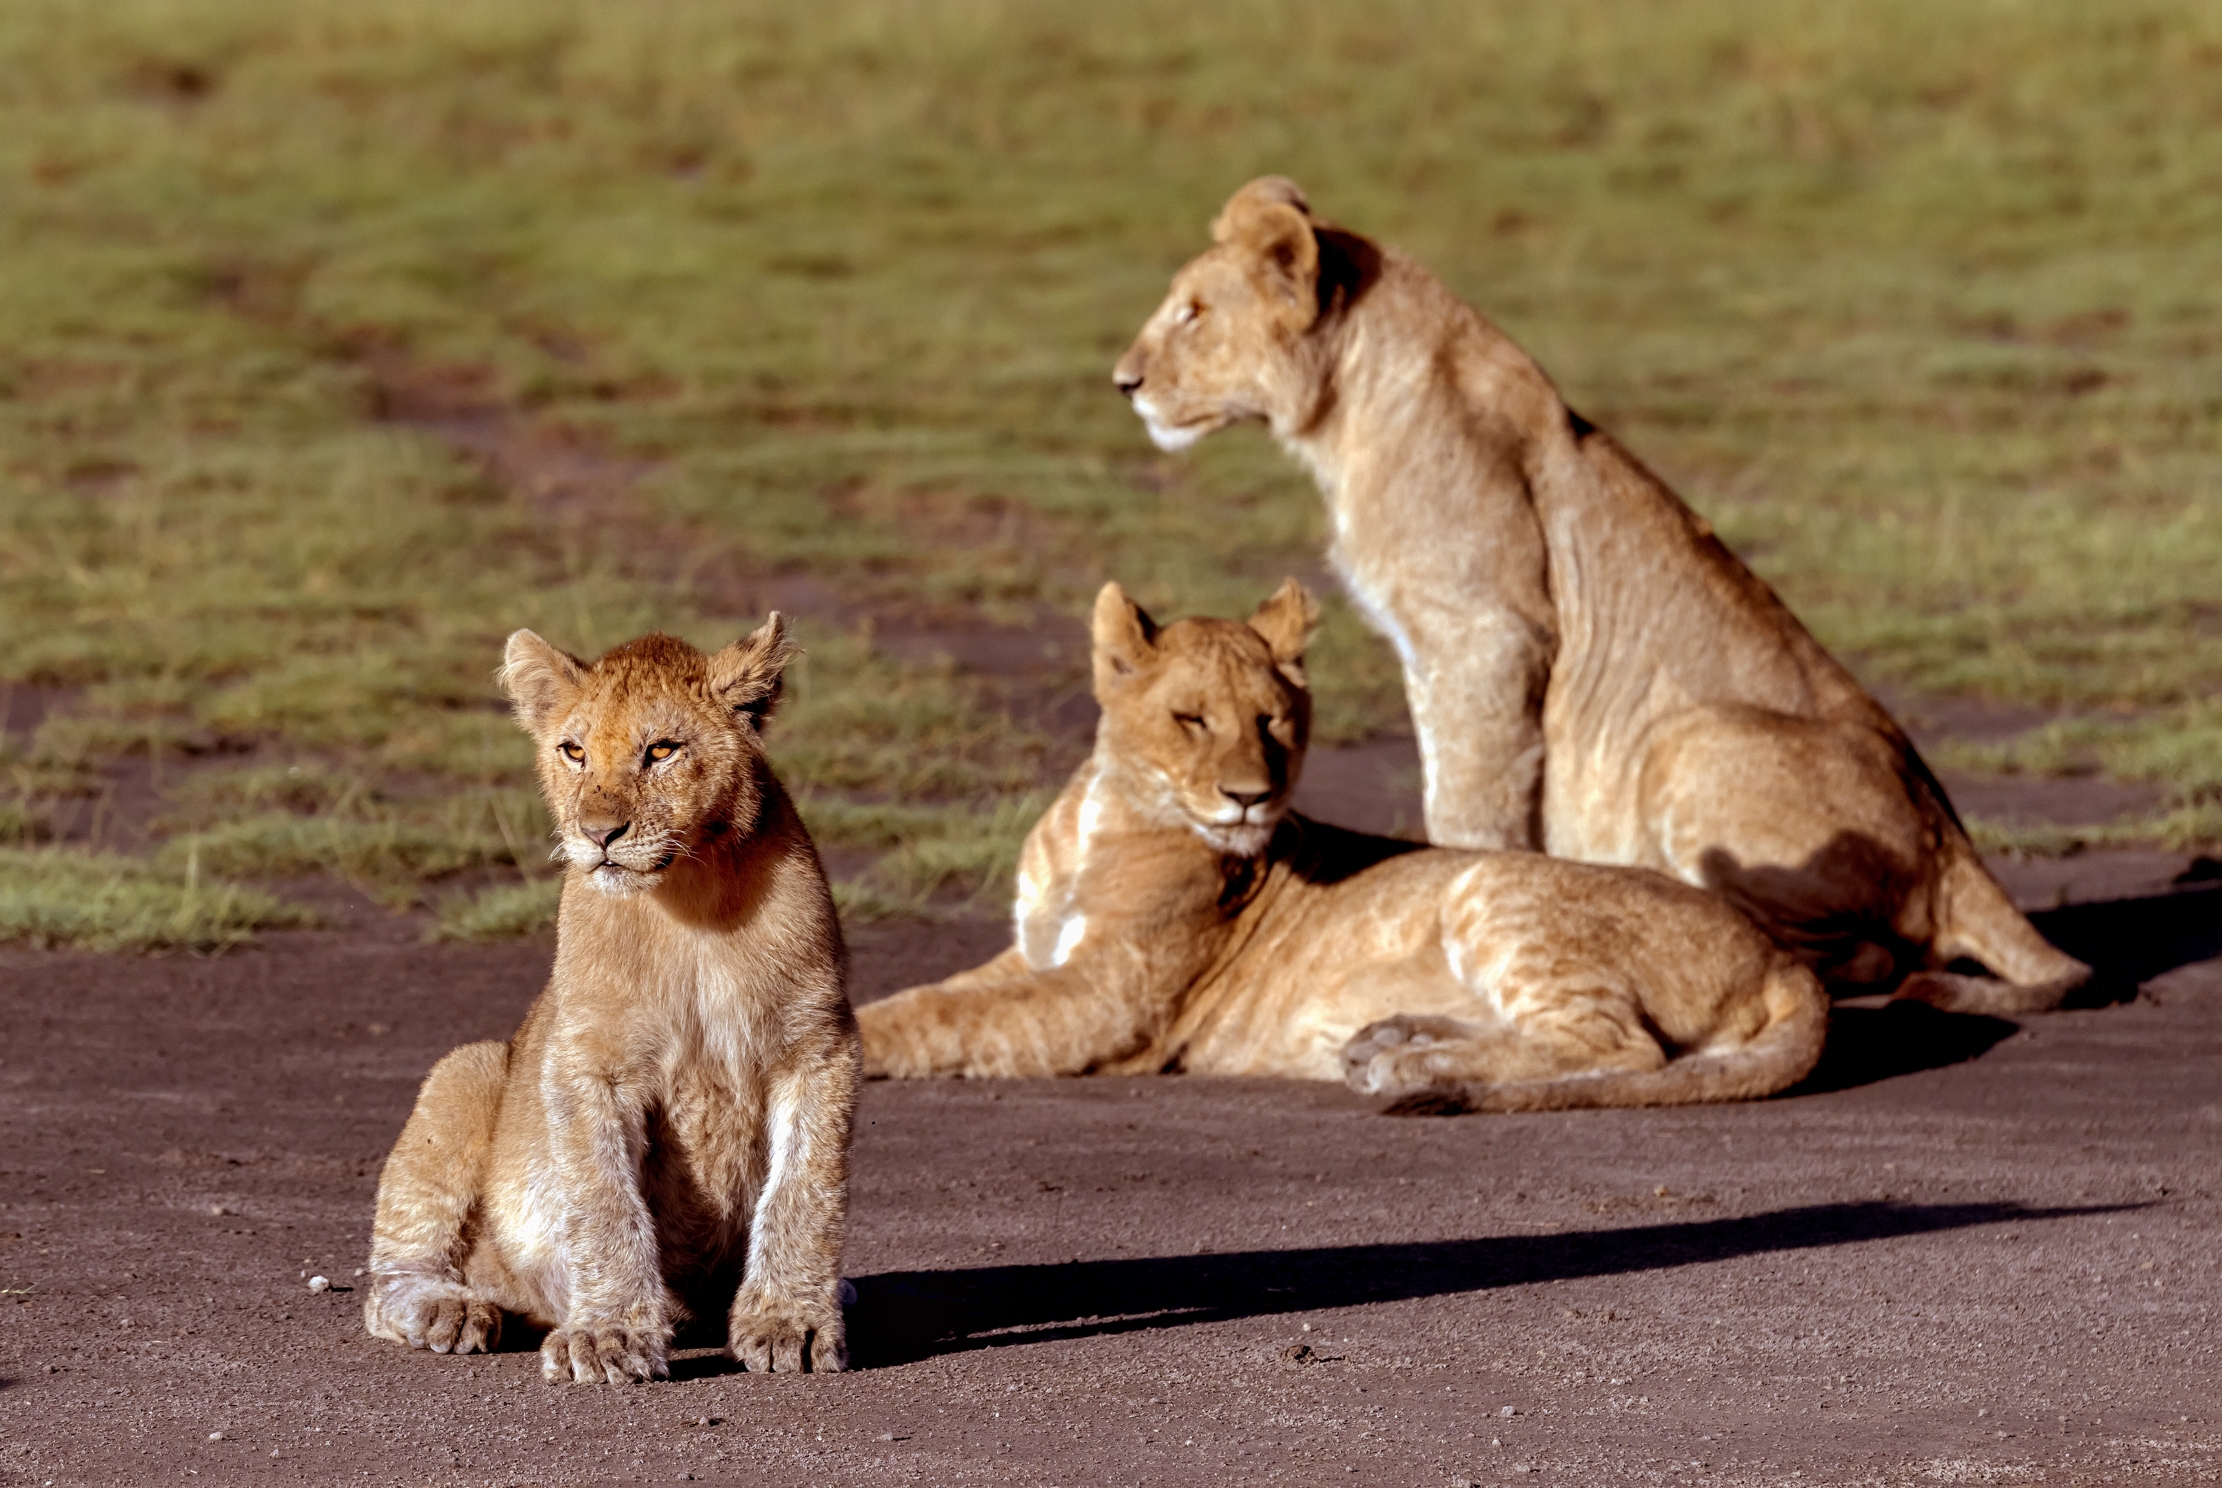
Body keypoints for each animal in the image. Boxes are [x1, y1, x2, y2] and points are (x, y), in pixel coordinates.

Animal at [363, 618, 860, 1382]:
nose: (598, 834)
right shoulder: (587, 1060)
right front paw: (608, 1336)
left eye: (661, 750)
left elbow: (806, 1193)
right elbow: (603, 1201)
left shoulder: (818, 1048)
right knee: (392, 1279)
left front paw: (792, 1322)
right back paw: (454, 1310)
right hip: (469, 1068)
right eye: (574, 751)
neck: (691, 903)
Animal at [857, 580, 1828, 1114]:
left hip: (1492, 890)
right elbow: (930, 998)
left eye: (1273, 720)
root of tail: (1785, 958)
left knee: (1619, 1048)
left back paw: (1406, 1064)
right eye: (1192, 719)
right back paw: (1389, 1040)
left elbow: (948, 1021)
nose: (1251, 796)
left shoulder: (1106, 1004)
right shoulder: (1033, 956)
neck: (1106, 812)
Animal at [1109, 176, 2091, 1017]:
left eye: (1194, 313)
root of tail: (1953, 844)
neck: (1346, 405)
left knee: (1880, 956)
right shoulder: (1442, 650)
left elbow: (1466, 798)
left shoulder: (1487, 633)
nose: (1124, 382)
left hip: (1688, 740)